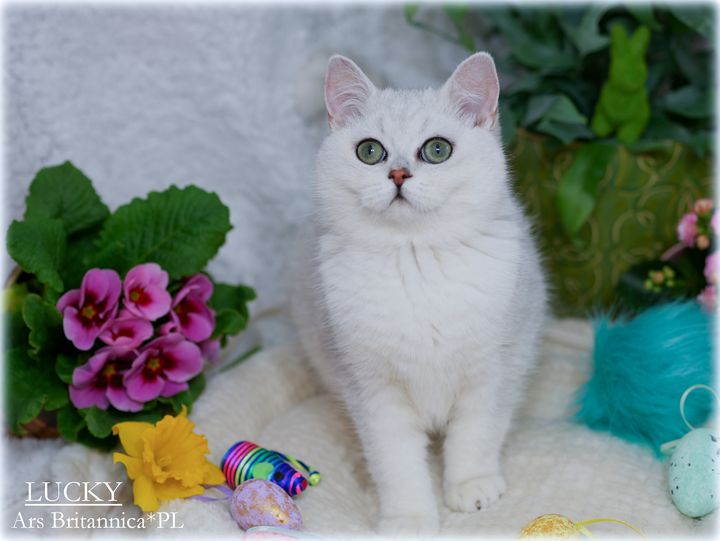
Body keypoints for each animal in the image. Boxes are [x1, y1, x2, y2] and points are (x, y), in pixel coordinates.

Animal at [289, 52, 548, 535]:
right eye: (369, 151)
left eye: (437, 150)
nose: (398, 174)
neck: (415, 259)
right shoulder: (372, 389)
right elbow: (395, 462)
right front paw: (408, 517)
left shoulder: (492, 371)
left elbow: (475, 436)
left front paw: (470, 487)